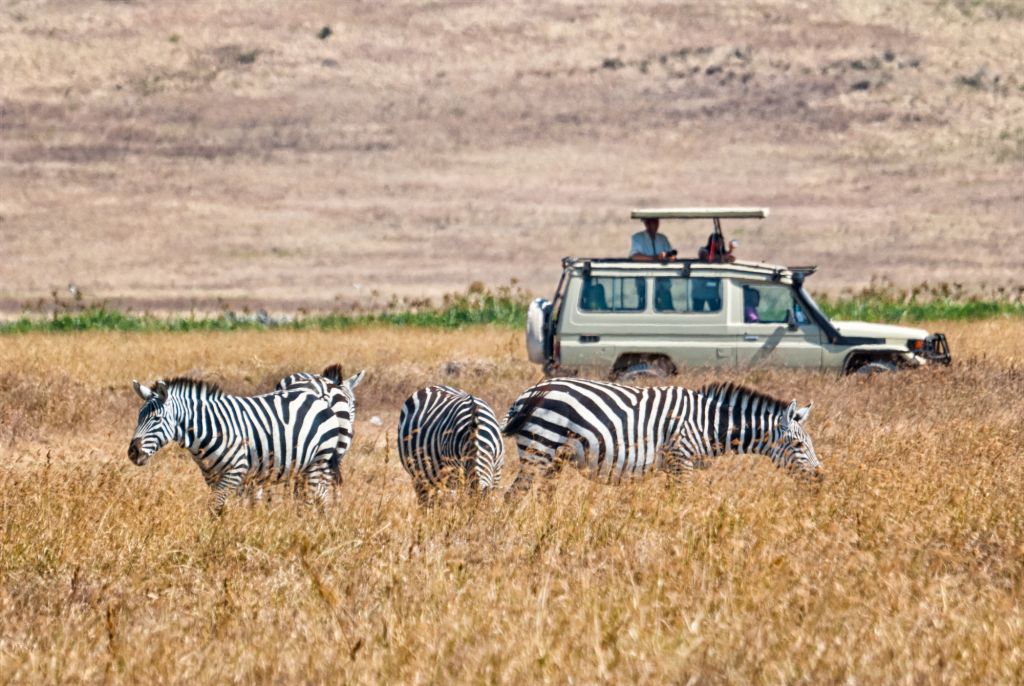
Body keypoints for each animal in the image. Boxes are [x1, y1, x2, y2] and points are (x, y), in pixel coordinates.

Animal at [128, 376, 342, 516]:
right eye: (139, 417)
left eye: (157, 418)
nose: (133, 452)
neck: (211, 428)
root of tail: (317, 396)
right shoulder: (212, 477)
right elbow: (221, 508)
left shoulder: (234, 471)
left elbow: (214, 508)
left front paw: (209, 537)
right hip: (306, 467)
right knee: (320, 497)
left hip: (318, 461)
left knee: (311, 500)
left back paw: (306, 526)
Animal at [499, 376, 819, 495]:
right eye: (797, 444)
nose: (820, 479)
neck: (707, 423)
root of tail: (527, 394)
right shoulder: (681, 459)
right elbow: (683, 500)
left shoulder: (675, 465)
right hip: (540, 449)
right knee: (514, 495)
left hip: (553, 458)